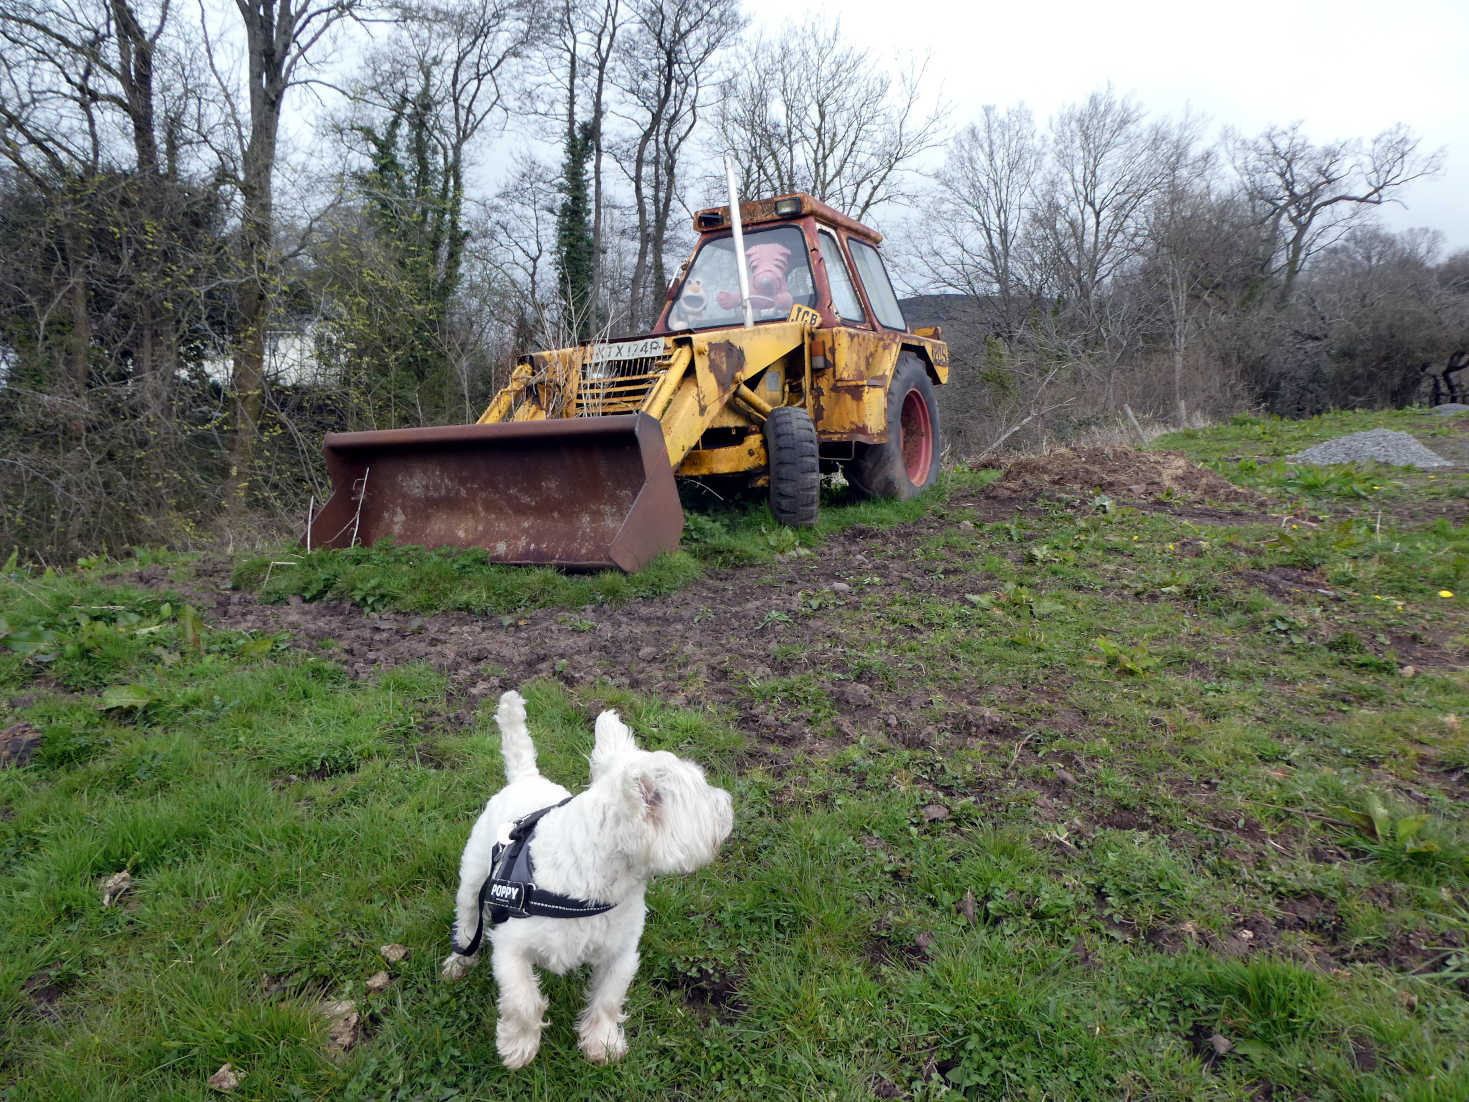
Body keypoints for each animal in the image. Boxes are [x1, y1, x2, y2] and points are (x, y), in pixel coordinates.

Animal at [437, 690, 731, 1069]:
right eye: (703, 792)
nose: (729, 805)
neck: (598, 882)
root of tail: (526, 779)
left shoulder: (621, 951)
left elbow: (608, 997)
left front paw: (602, 1043)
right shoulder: (510, 945)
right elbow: (522, 999)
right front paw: (518, 1046)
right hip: (473, 876)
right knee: (468, 920)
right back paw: (459, 962)